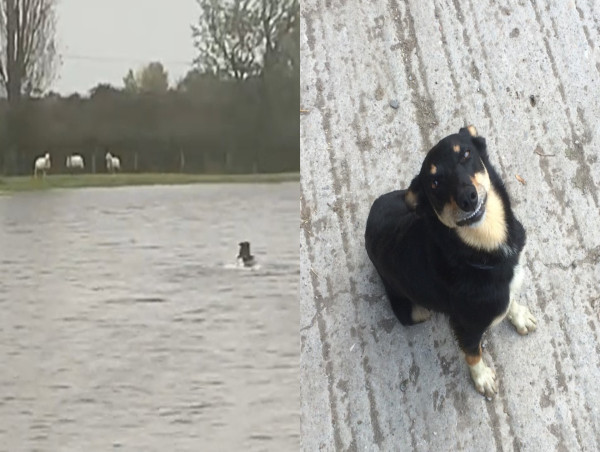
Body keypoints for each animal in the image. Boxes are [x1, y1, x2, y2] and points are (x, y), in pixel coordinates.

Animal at [364, 125, 536, 398]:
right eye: (435, 183)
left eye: (465, 154)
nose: (468, 197)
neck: (481, 251)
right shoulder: (466, 327)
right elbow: (473, 354)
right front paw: (482, 378)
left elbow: (510, 301)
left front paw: (518, 314)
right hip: (416, 311)